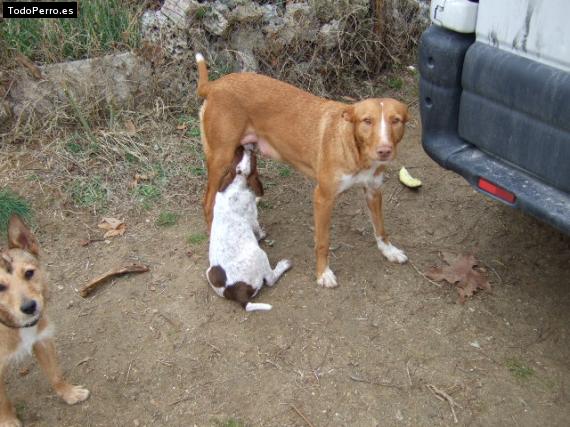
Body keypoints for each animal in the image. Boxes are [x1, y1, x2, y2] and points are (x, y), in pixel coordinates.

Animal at [0, 217, 89, 427]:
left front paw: (69, 393)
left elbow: (55, 375)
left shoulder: (42, 341)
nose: (29, 307)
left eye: (29, 273)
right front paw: (7, 421)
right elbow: (2, 401)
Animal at [195, 52, 408, 288]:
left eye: (396, 120)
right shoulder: (323, 197)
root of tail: (214, 85)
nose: (384, 151)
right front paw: (323, 273)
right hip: (221, 157)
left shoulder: (373, 191)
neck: (357, 152)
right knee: (208, 202)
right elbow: (323, 241)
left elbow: (380, 227)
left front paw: (389, 251)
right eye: (367, 121)